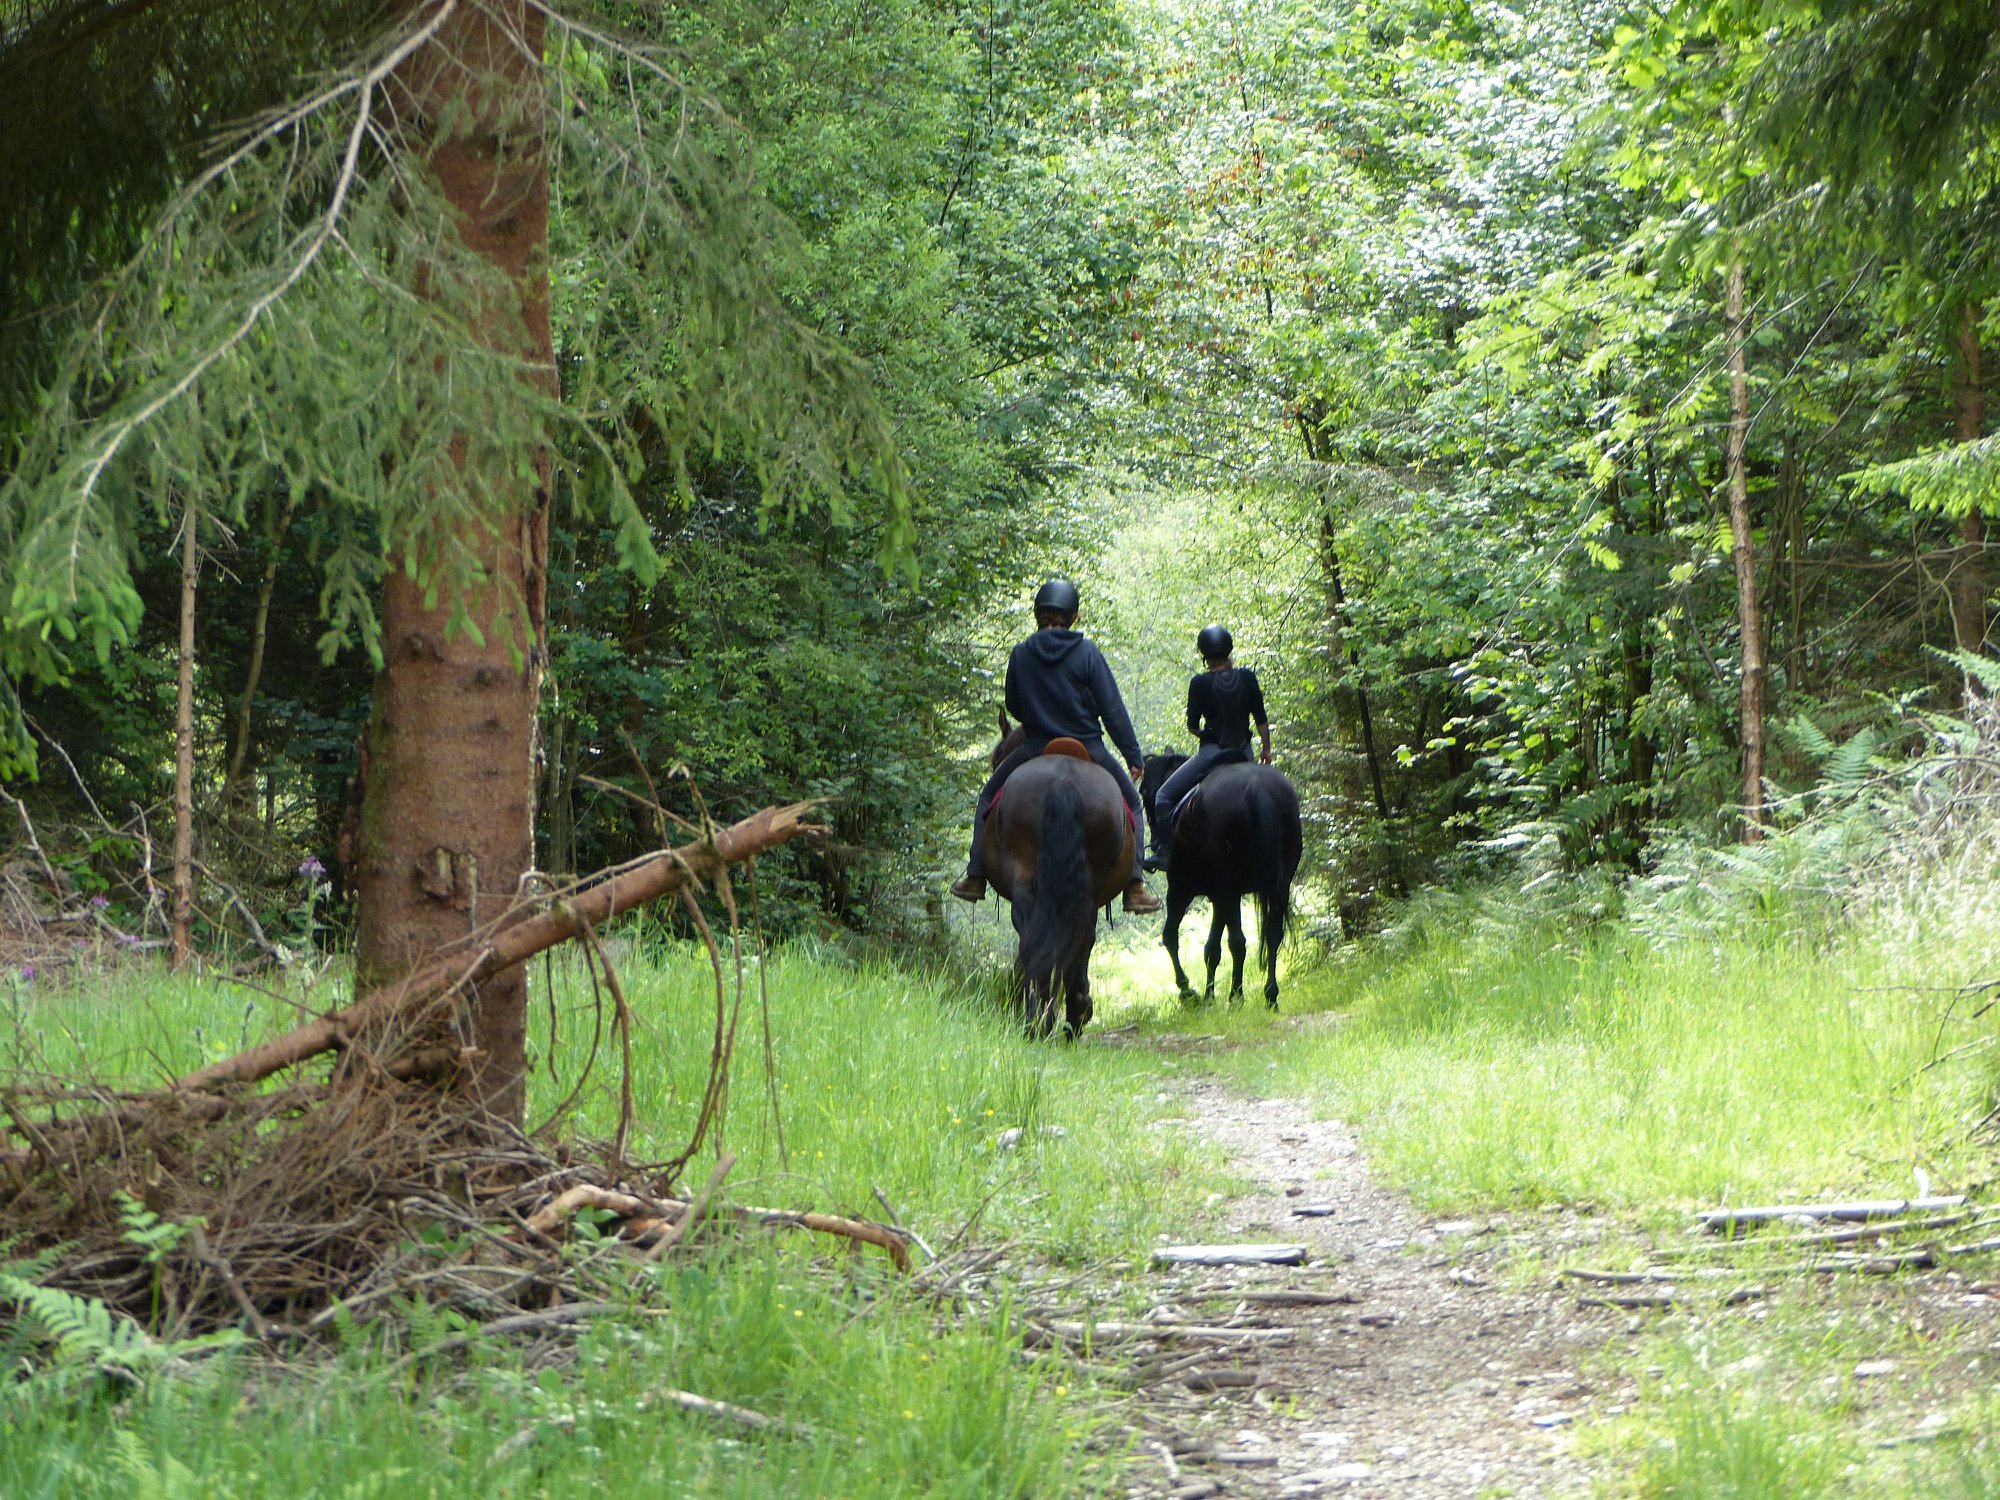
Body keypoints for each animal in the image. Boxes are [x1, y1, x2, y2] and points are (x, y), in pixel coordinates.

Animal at [979, 713, 1137, 1037]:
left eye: (996, 759)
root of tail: (1064, 781)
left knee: (1042, 932)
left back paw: (1042, 1016)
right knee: (1076, 934)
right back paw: (1061, 1013)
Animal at [1140, 752, 1302, 1008]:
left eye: (1143, 791)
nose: (1155, 840)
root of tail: (1256, 789)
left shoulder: (1182, 890)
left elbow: (1171, 937)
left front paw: (1189, 992)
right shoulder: (1218, 896)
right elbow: (1212, 948)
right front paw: (1208, 994)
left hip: (1227, 890)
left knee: (1237, 941)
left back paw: (1236, 995)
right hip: (1275, 887)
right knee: (1272, 934)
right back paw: (1270, 995)